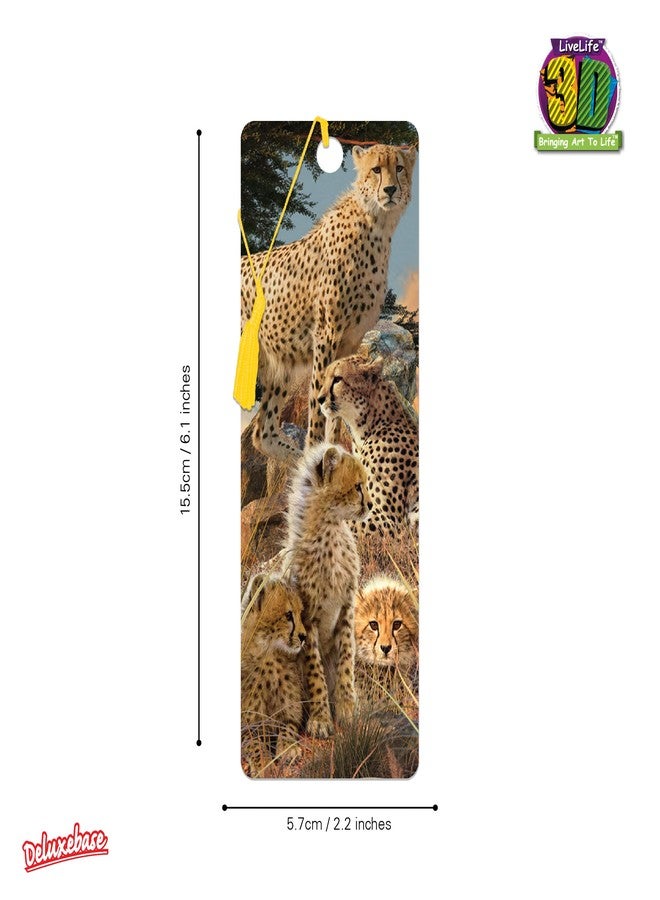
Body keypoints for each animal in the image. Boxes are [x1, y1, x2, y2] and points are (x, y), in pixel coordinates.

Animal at [240, 573, 307, 776]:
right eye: (288, 615)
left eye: (301, 614)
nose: (304, 636)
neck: (269, 652)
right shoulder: (246, 721)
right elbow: (253, 742)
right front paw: (263, 763)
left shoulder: (291, 710)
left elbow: (288, 726)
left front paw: (288, 748)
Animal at [241, 143, 417, 461]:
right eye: (376, 169)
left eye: (398, 168)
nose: (390, 190)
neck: (376, 224)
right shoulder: (326, 333)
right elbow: (316, 402)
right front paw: (315, 450)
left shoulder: (350, 339)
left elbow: (338, 400)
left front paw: (332, 451)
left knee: (264, 433)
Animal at [280, 442, 371, 738]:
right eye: (357, 486)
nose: (370, 504)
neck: (330, 530)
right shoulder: (306, 619)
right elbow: (315, 672)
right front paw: (320, 719)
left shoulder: (346, 609)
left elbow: (345, 662)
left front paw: (347, 709)